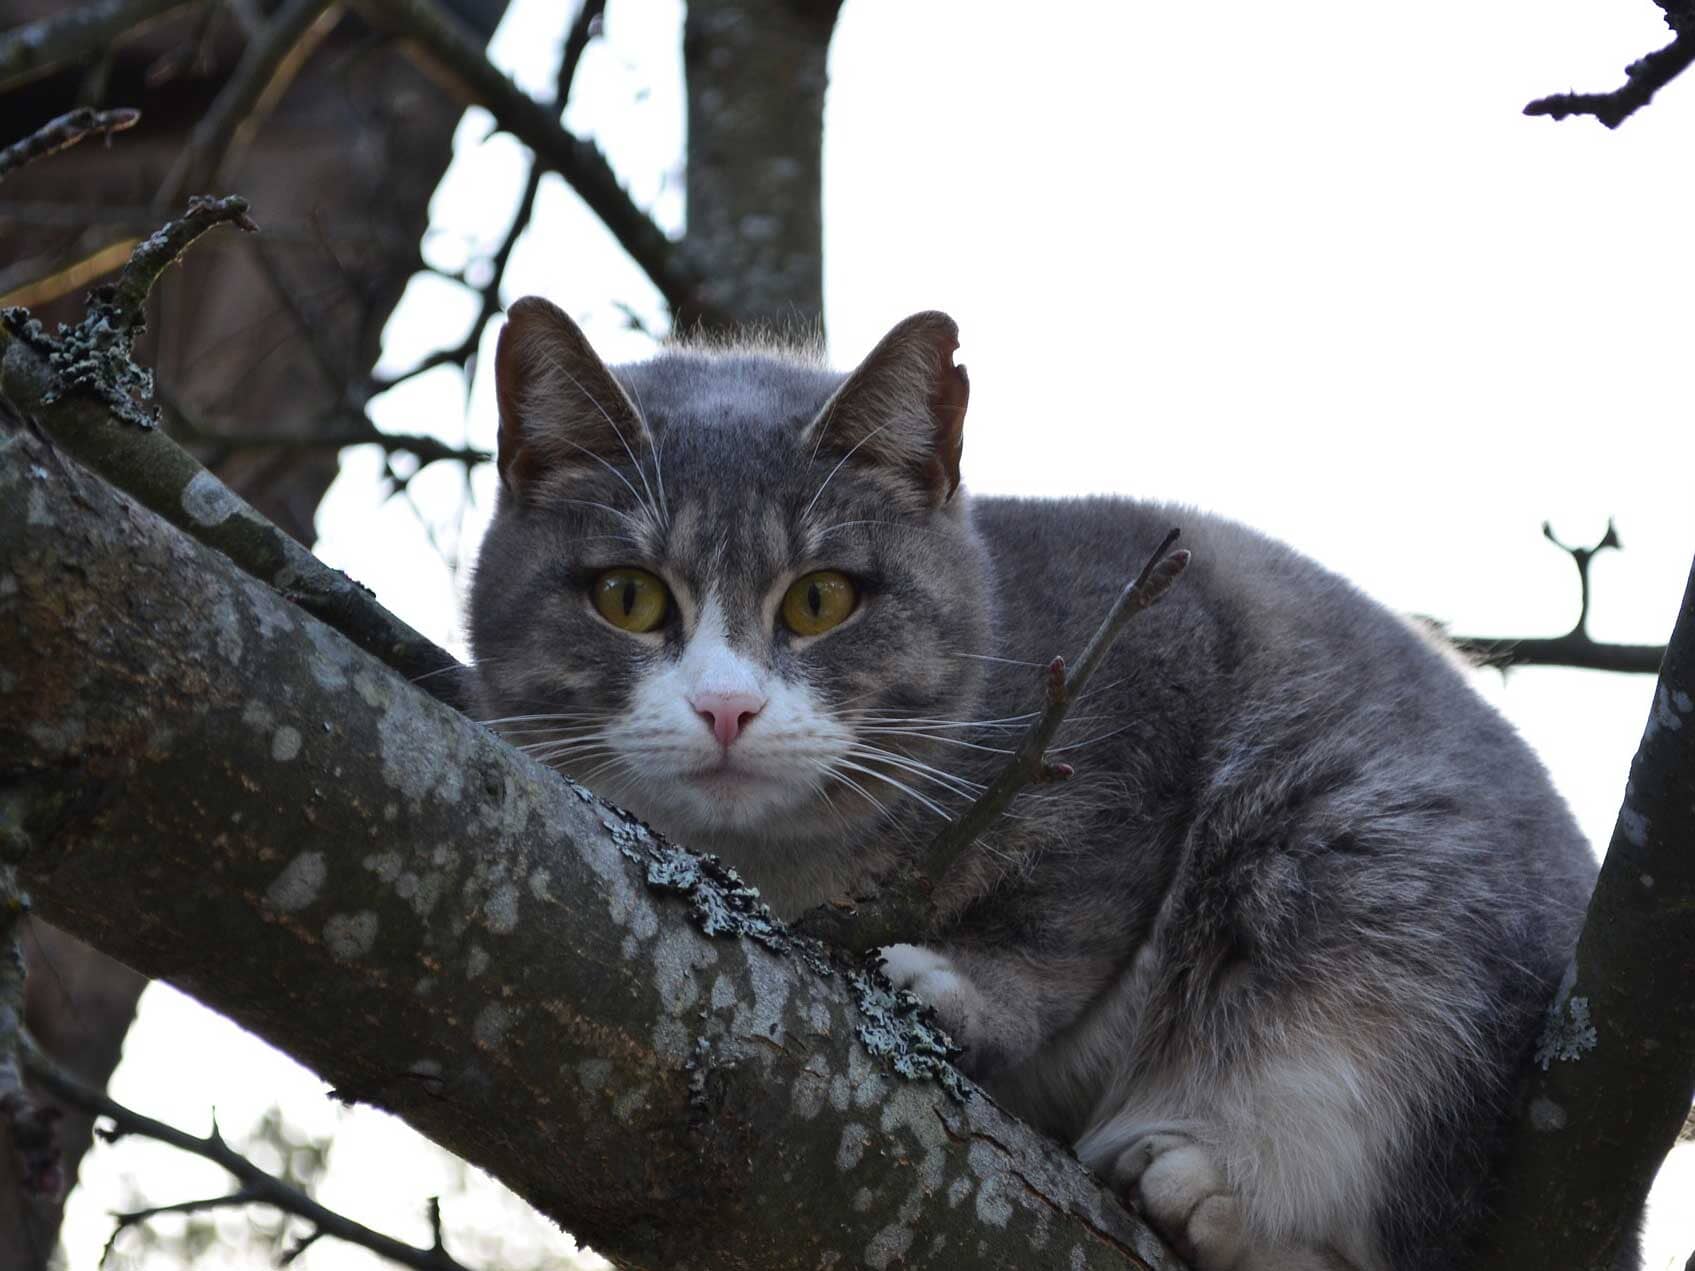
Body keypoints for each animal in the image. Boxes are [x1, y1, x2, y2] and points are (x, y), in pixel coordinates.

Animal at [464, 298, 1613, 1271]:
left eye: (821, 599)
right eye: (628, 595)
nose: (726, 706)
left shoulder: (1150, 653)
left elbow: (1070, 909)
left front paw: (959, 988)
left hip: (1374, 894)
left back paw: (1207, 1195)